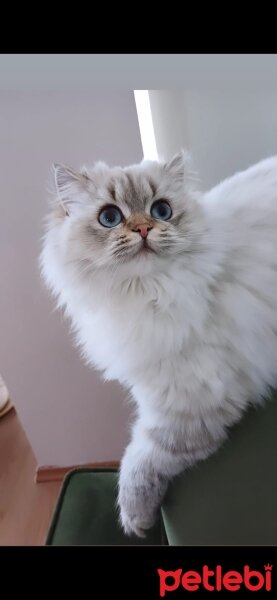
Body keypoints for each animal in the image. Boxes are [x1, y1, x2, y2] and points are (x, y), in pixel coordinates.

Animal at [40, 152, 276, 536]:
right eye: (110, 218)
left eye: (161, 210)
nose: (143, 229)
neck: (150, 293)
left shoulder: (188, 407)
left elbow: (139, 460)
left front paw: (134, 520)